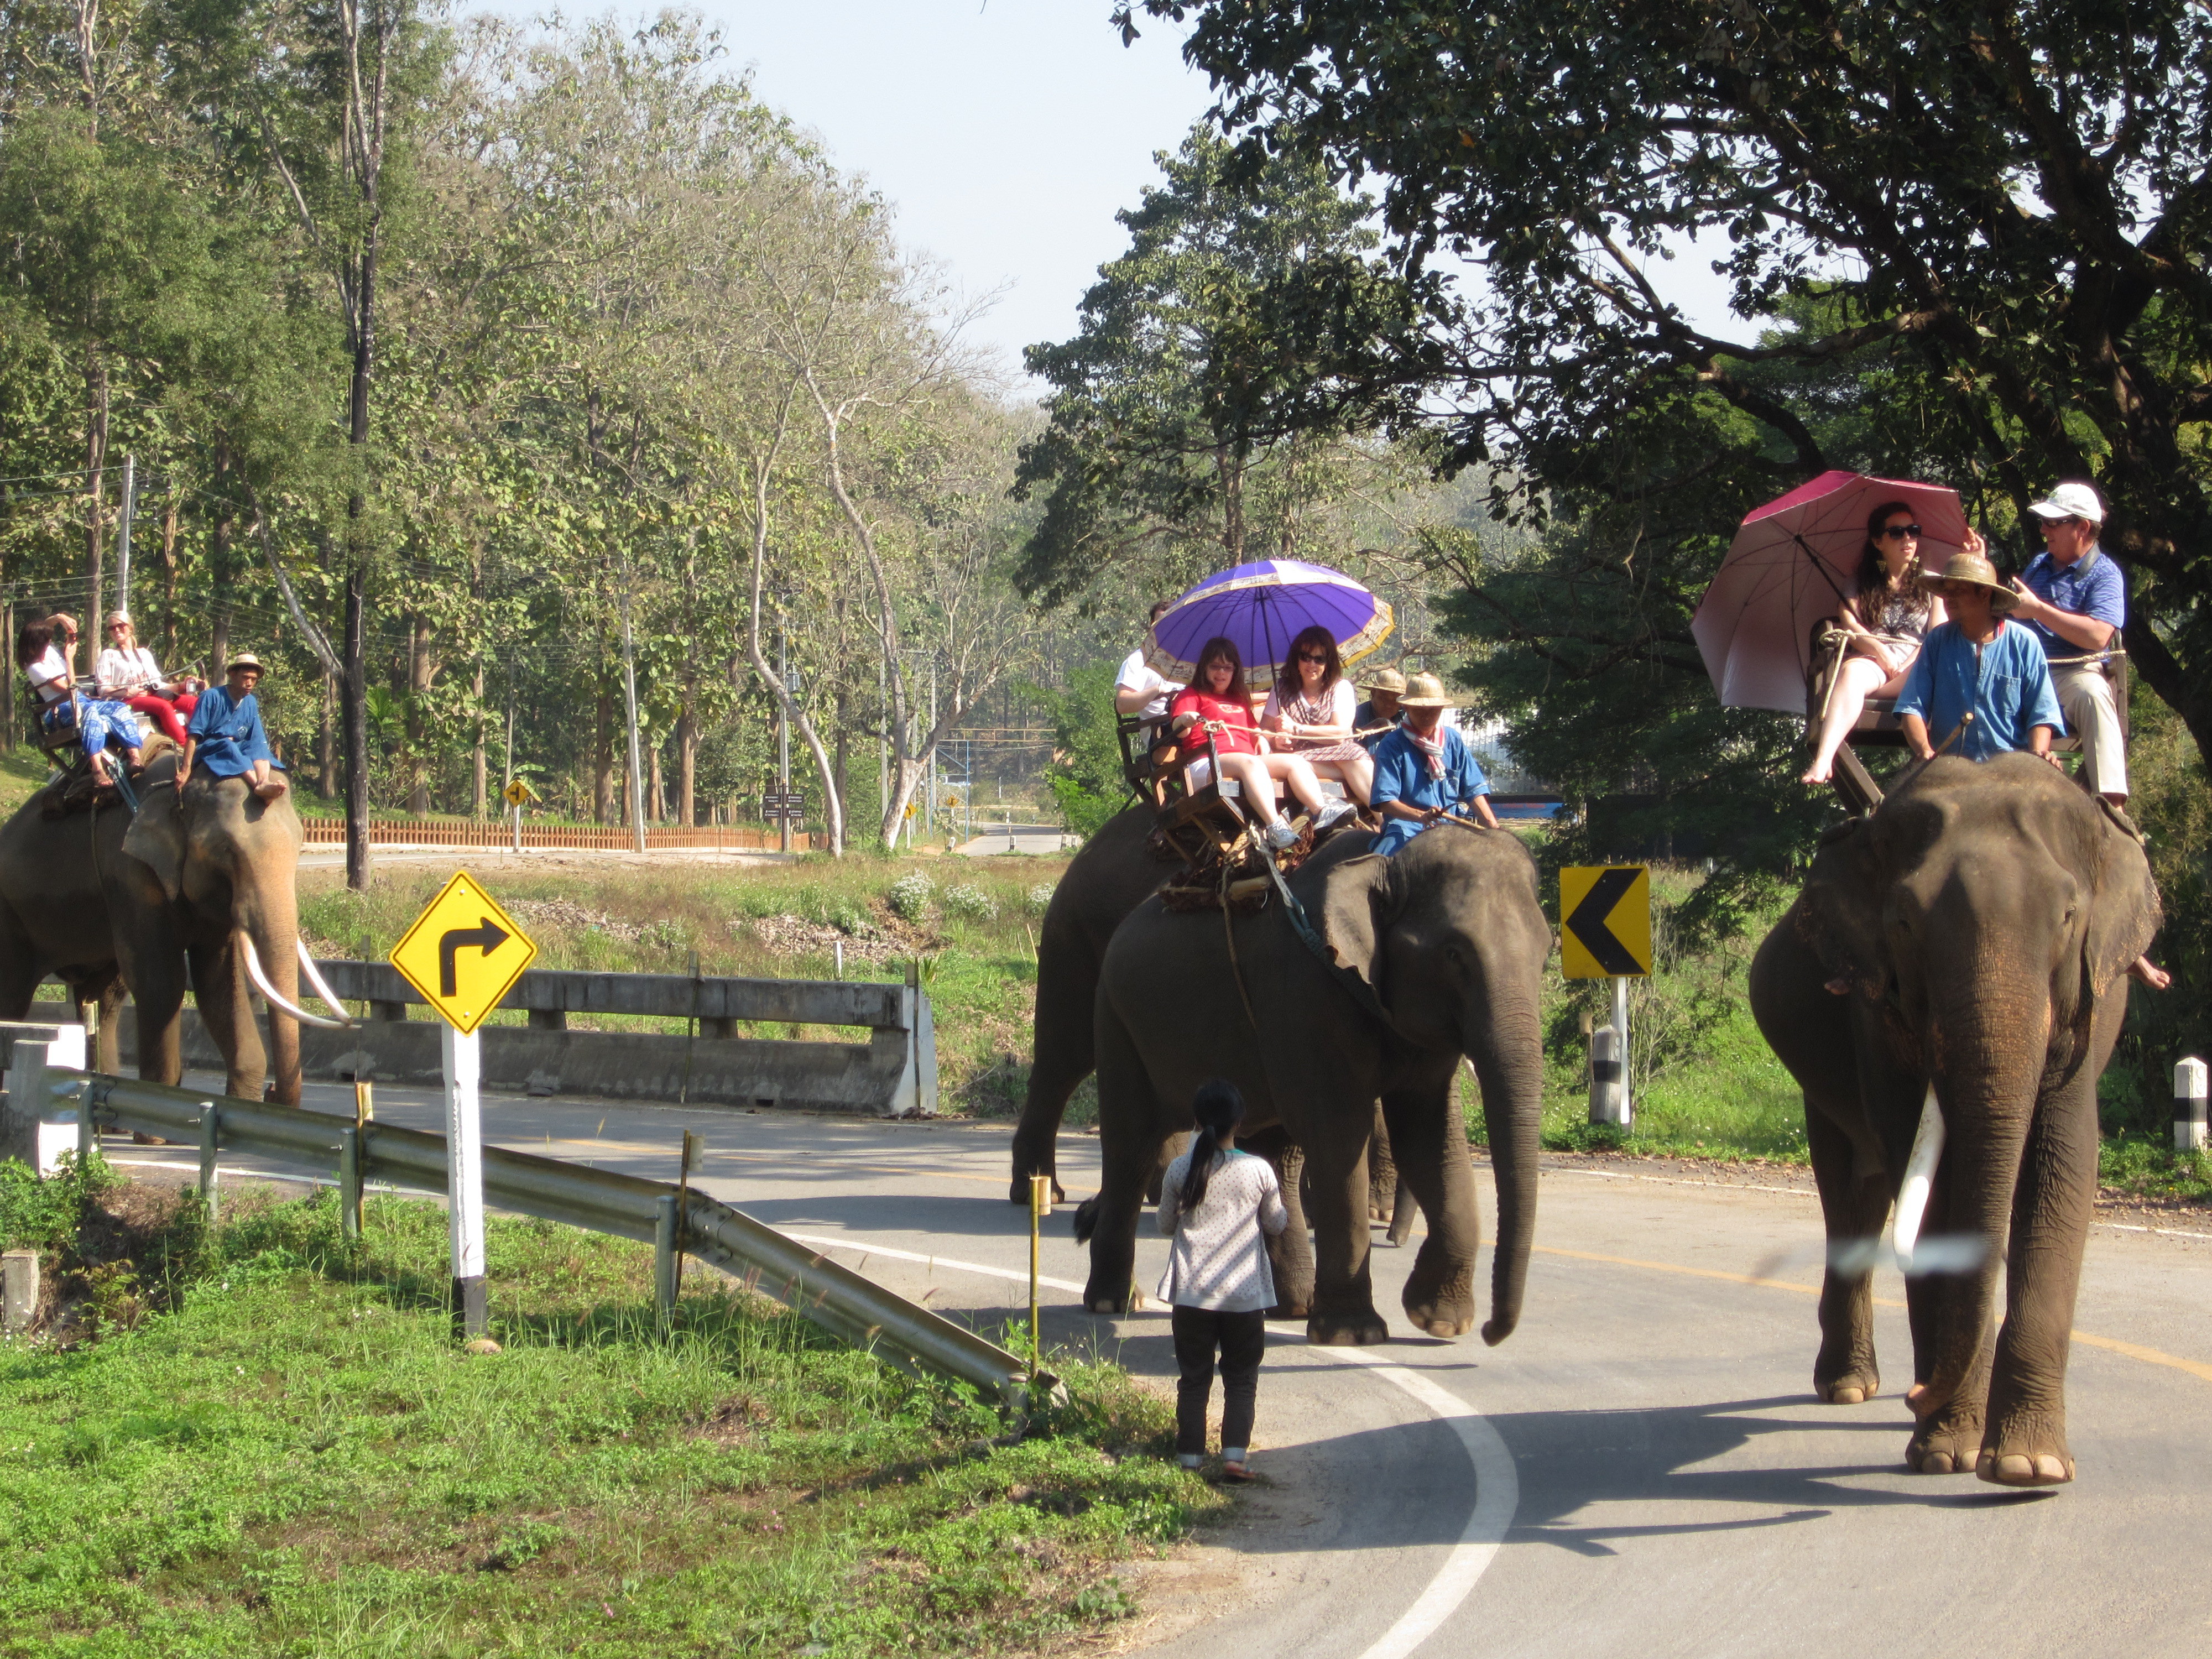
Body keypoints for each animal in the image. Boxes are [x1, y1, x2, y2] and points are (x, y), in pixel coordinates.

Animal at [1071, 818, 1540, 1354]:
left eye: (1548, 952)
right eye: (1454, 953)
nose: (1493, 1333)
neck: (1385, 861)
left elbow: (1428, 1139)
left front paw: (1439, 1322)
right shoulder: (1307, 991)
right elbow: (1339, 1136)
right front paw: (1355, 1335)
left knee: (1274, 1153)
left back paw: (1291, 1306)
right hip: (1116, 1019)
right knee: (1131, 1146)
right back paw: (1115, 1303)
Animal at [1743, 757, 2159, 1495]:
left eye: (2067, 917)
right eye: (1905, 922)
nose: (1918, 1397)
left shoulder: (2090, 1006)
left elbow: (2064, 1171)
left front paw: (2027, 1468)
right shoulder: (1876, 1012)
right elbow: (1930, 1190)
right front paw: (1948, 1454)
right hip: (1821, 1081)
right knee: (1852, 1197)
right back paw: (1849, 1388)